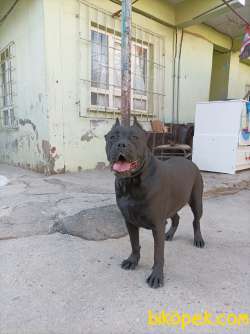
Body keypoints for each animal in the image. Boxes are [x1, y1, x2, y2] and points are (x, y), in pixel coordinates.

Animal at [104, 117, 204, 288]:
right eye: (113, 137)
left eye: (134, 137)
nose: (121, 144)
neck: (132, 182)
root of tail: (189, 161)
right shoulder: (130, 221)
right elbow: (134, 244)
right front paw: (132, 261)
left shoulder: (157, 224)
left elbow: (158, 254)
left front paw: (156, 275)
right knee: (176, 218)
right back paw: (169, 234)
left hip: (197, 201)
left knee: (195, 221)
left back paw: (198, 239)